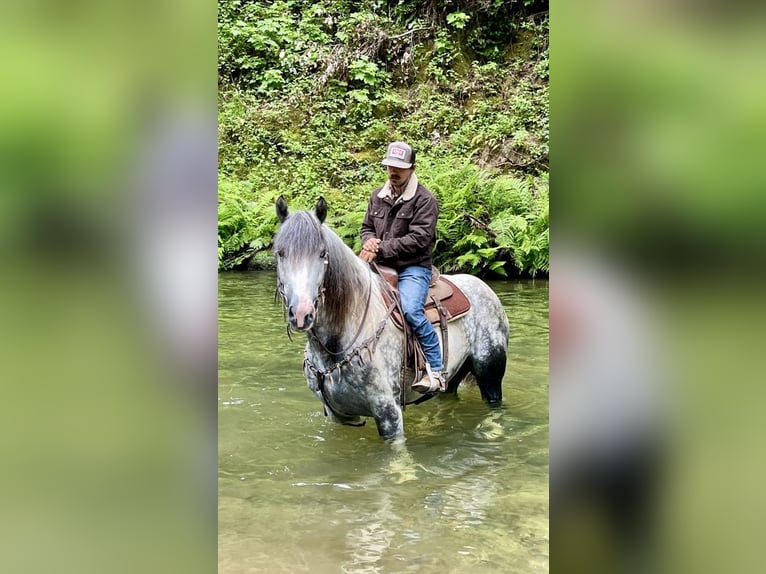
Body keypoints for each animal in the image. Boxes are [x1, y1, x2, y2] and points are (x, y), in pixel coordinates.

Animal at [273, 196, 510, 440]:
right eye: (280, 252)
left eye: (322, 253)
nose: (302, 314)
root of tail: (483, 286)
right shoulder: (337, 414)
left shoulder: (388, 411)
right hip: (453, 377)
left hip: (490, 371)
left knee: (495, 406)